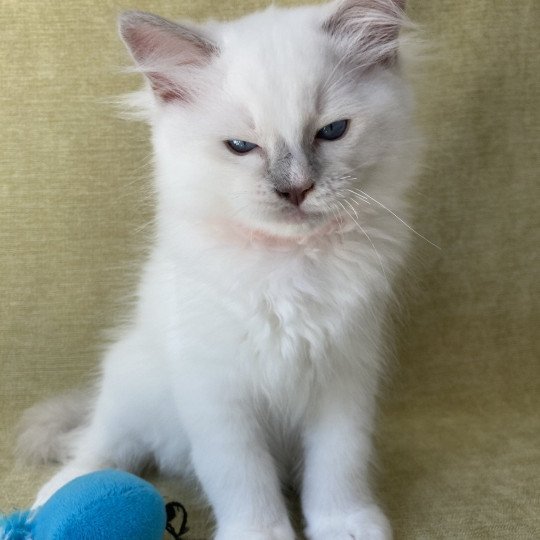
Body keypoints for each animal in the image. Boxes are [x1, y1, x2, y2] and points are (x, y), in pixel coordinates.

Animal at [20, 1, 418, 540]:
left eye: (332, 132)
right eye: (240, 146)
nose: (295, 189)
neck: (288, 262)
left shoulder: (343, 380)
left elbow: (339, 466)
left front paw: (344, 525)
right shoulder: (218, 392)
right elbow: (242, 478)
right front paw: (261, 533)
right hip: (130, 380)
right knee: (103, 444)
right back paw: (61, 496)